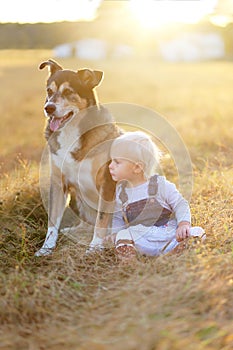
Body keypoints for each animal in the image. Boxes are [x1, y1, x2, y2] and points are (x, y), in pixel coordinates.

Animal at [36, 58, 122, 256]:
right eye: (49, 91)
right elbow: (52, 222)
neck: (71, 131)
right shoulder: (58, 183)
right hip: (76, 199)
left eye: (69, 92)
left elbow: (102, 219)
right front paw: (46, 248)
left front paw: (94, 248)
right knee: (85, 223)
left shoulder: (107, 183)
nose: (48, 108)